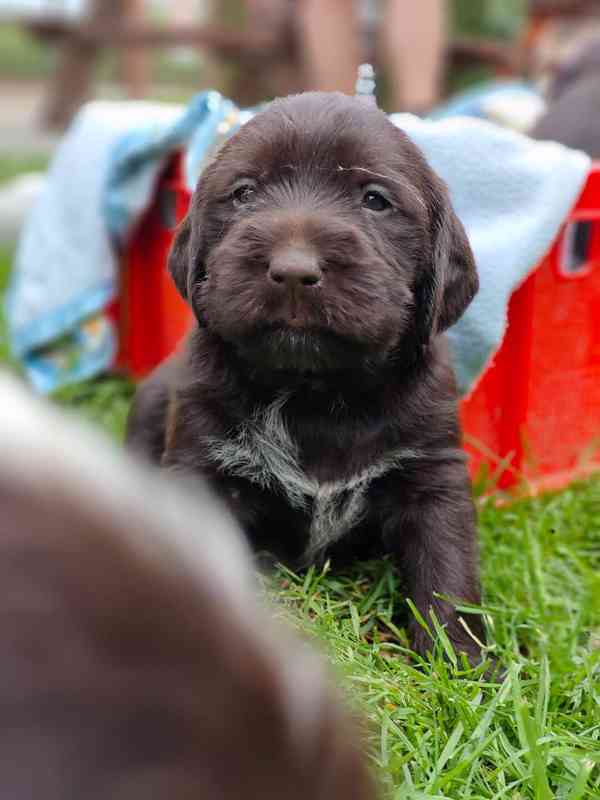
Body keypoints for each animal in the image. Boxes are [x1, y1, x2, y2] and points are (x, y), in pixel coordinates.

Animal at [125, 92, 482, 664]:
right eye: (244, 194)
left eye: (375, 200)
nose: (294, 270)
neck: (315, 392)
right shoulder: (201, 470)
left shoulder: (433, 475)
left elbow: (447, 569)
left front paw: (462, 663)